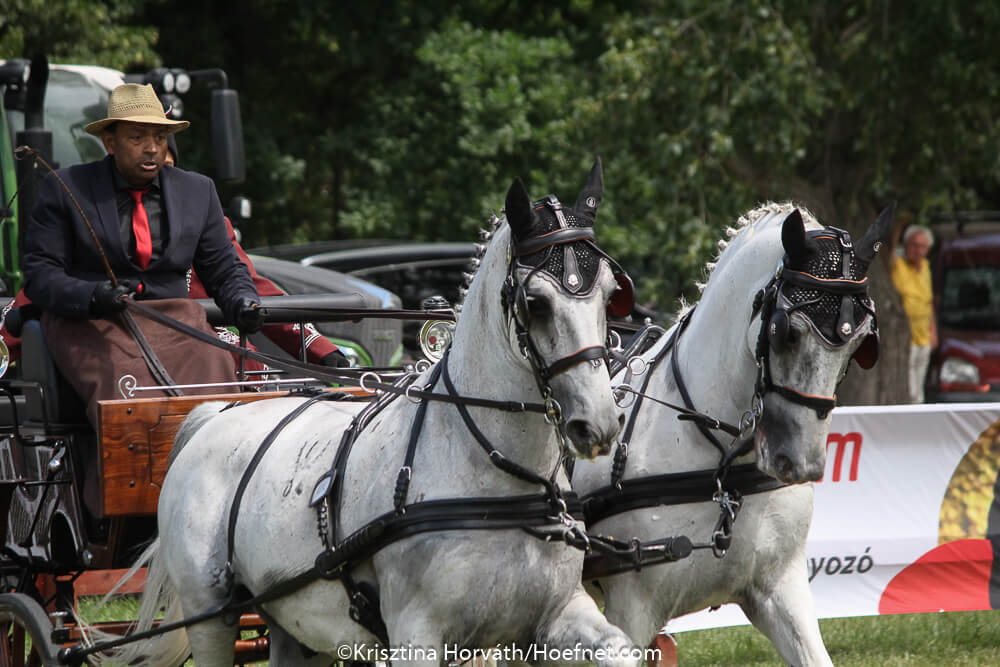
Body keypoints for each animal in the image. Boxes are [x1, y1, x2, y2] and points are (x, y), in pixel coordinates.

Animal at [90, 159, 645, 667]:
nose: (598, 424)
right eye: (536, 302)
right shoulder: (418, 636)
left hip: (293, 617)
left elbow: (622, 650)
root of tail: (217, 412)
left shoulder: (555, 615)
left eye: (611, 296)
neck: (495, 477)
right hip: (211, 614)